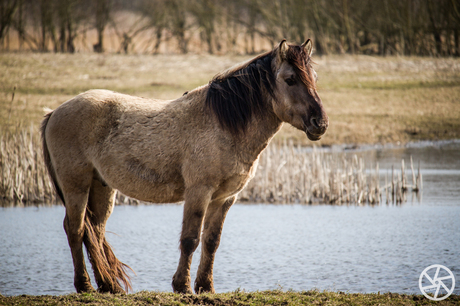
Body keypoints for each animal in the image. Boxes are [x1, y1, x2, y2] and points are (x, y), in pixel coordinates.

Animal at [39, 38, 328, 294]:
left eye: (314, 77)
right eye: (290, 79)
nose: (320, 123)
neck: (223, 124)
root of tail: (54, 113)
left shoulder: (225, 198)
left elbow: (211, 242)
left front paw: (206, 287)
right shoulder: (199, 192)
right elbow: (190, 240)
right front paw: (183, 287)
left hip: (101, 187)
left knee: (95, 232)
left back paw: (109, 286)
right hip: (76, 185)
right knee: (75, 230)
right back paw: (85, 286)